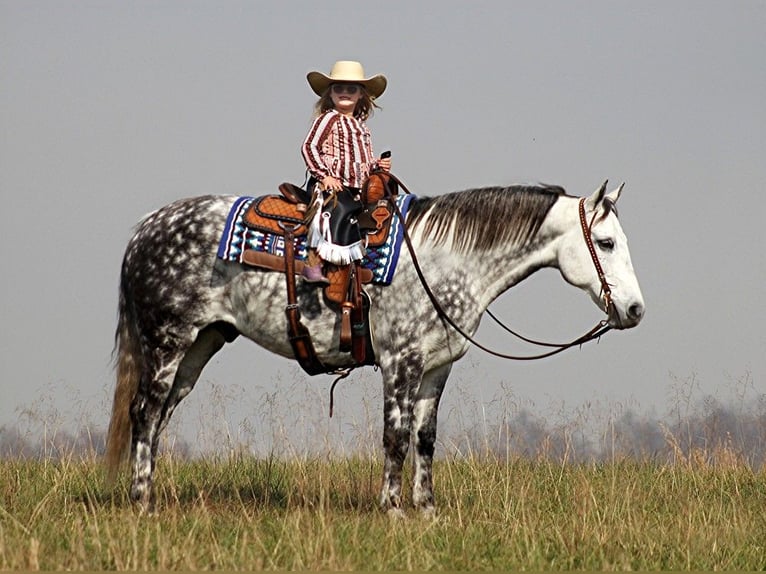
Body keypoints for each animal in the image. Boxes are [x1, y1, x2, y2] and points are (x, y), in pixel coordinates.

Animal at [106, 182, 648, 516]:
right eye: (605, 242)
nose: (635, 309)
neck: (446, 260)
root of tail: (144, 228)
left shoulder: (435, 368)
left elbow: (425, 438)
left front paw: (427, 509)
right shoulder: (400, 362)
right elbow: (395, 437)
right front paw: (392, 508)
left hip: (200, 345)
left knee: (159, 418)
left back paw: (149, 493)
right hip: (167, 341)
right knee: (144, 412)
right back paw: (141, 502)